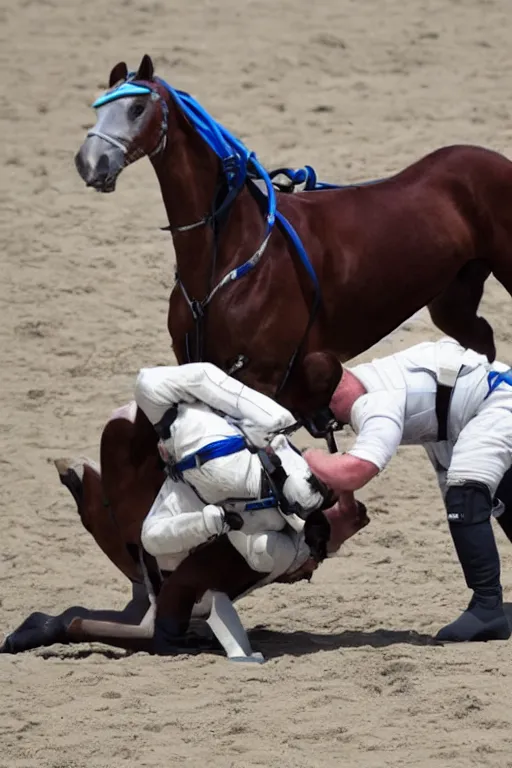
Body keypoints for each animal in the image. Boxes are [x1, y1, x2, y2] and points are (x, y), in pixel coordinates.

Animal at [76, 53, 512, 414]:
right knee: (482, 345)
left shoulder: (263, 379)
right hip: (453, 301)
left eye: (136, 108)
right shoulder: (196, 366)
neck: (232, 254)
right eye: (99, 106)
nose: (89, 162)